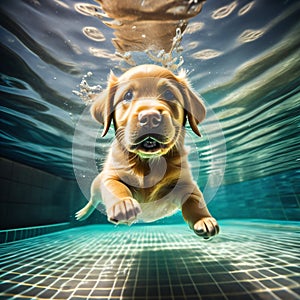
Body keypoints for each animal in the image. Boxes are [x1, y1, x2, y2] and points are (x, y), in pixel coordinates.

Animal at [76, 64, 219, 238]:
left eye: (169, 94)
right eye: (128, 95)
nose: (150, 117)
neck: (147, 161)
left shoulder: (185, 184)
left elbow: (194, 200)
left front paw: (204, 220)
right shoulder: (110, 176)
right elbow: (116, 187)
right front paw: (123, 204)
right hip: (96, 185)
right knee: (92, 199)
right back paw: (82, 213)